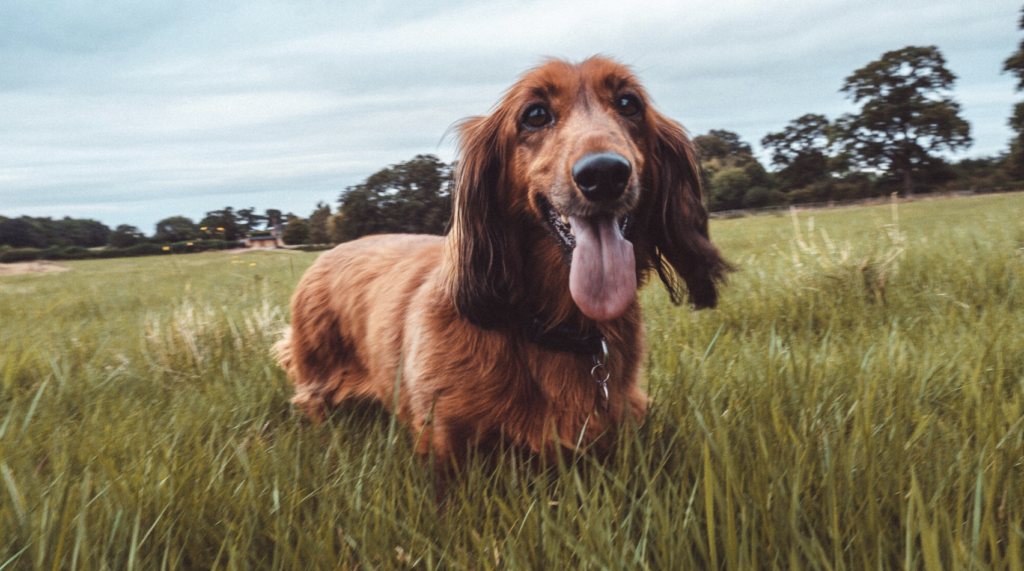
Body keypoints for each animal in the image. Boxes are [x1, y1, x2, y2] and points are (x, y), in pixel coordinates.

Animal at [274, 57, 729, 487]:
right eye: (535, 114)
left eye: (629, 103)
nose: (604, 174)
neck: (548, 326)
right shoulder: (444, 442)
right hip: (317, 375)